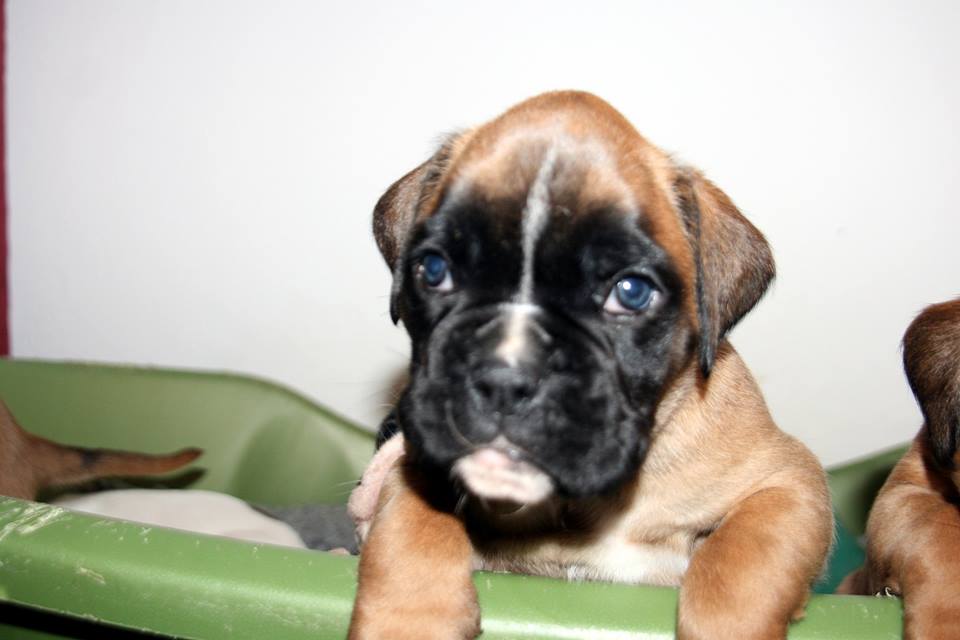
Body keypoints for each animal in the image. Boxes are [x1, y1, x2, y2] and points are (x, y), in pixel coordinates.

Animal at [348, 91, 833, 640]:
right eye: (434, 270)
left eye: (631, 291)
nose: (503, 379)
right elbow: (409, 525)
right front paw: (408, 616)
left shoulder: (789, 483)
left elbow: (740, 568)